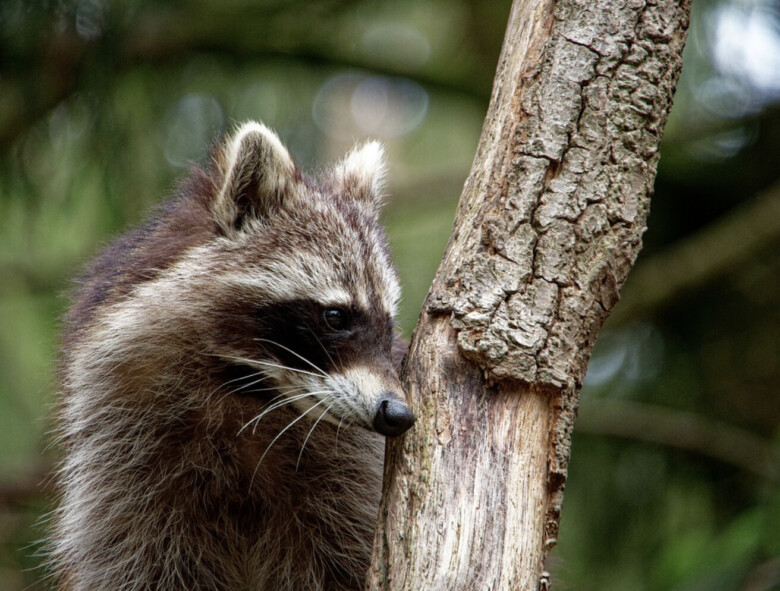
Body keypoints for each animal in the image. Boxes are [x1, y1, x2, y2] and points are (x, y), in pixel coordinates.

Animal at [51, 122, 414, 588]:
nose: (399, 413)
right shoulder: (122, 463)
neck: (248, 394)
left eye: (389, 323)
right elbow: (134, 561)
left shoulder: (349, 476)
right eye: (335, 316)